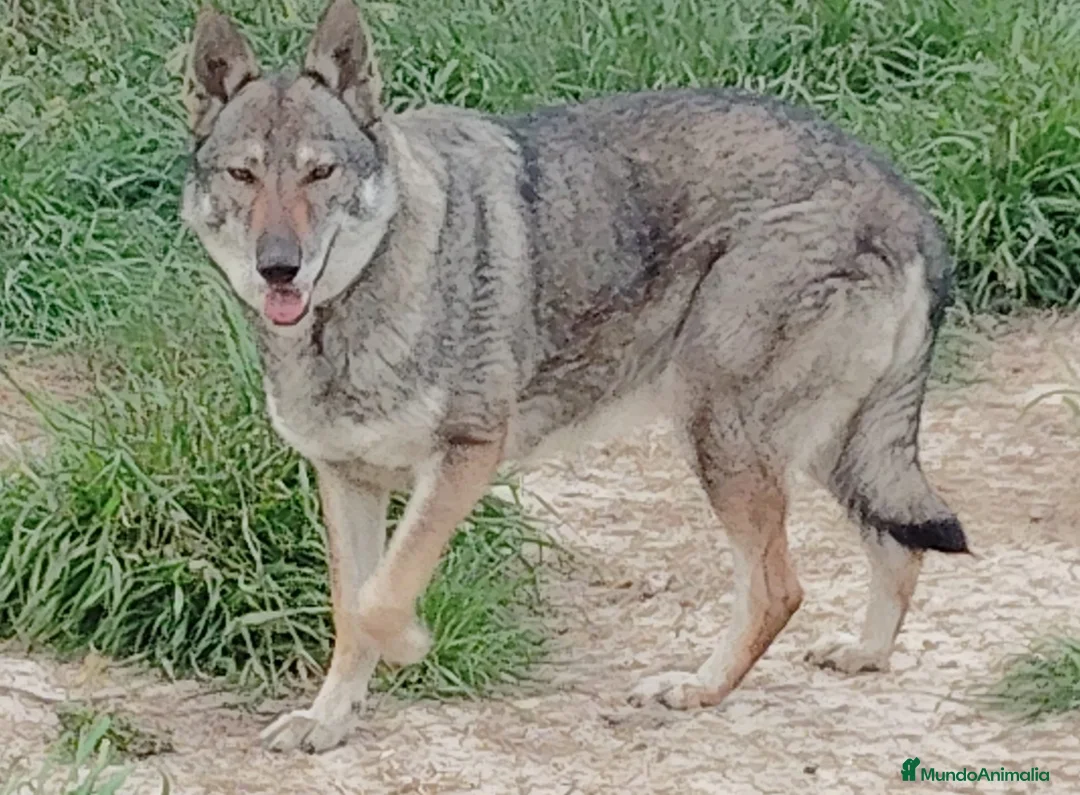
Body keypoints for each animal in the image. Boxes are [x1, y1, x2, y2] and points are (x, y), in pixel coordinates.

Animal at [180, 0, 970, 753]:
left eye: (321, 173)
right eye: (244, 175)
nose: (278, 267)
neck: (360, 301)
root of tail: (903, 196)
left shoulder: (466, 457)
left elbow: (379, 599)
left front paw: (407, 642)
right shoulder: (347, 480)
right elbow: (350, 609)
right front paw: (328, 720)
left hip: (724, 438)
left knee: (780, 588)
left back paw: (698, 687)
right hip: (826, 449)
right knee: (897, 548)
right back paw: (865, 653)